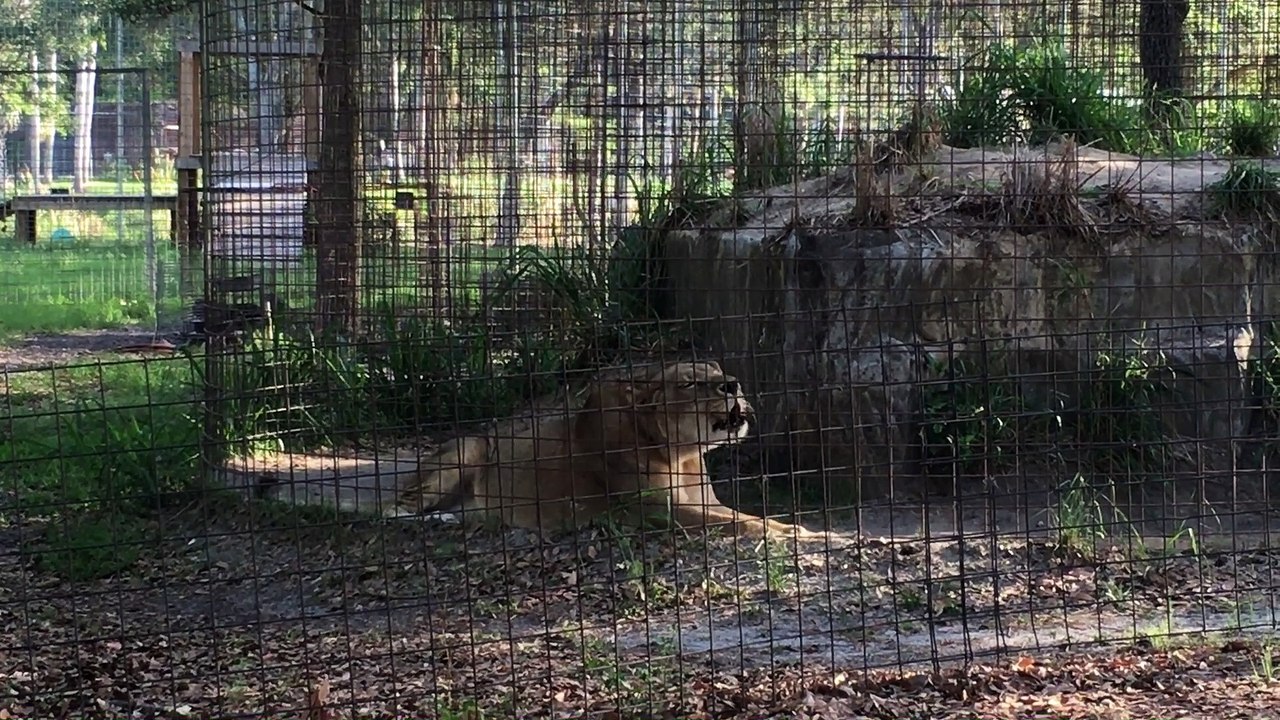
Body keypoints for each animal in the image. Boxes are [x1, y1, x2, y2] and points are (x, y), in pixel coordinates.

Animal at [391, 360, 821, 539]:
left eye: (719, 374)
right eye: (688, 384)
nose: (732, 384)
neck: (680, 454)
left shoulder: (705, 502)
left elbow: (743, 515)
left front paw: (802, 530)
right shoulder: (651, 510)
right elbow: (737, 523)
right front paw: (799, 537)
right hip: (473, 445)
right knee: (395, 509)